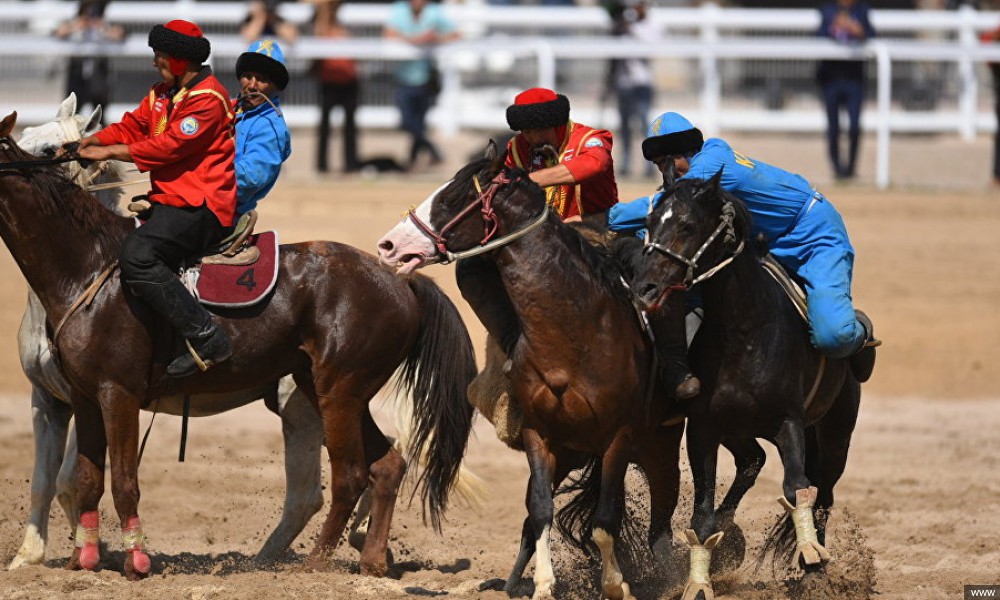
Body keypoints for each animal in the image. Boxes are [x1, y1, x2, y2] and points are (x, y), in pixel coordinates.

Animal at [6, 94, 484, 572]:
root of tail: (398, 279)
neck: (91, 270)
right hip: (327, 393)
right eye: (23, 136)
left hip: (327, 400)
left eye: (48, 149)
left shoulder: (115, 394)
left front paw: (112, 553)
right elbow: (51, 481)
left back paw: (306, 560)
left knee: (333, 482)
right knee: (383, 464)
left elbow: (87, 479)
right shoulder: (54, 400)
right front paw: (35, 557)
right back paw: (359, 556)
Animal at [376, 144, 688, 600]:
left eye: (451, 197)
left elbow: (606, 519)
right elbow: (540, 510)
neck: (575, 336)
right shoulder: (540, 436)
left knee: (660, 524)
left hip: (659, 447)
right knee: (533, 520)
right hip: (572, 453)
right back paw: (511, 582)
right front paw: (542, 585)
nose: (389, 244)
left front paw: (615, 585)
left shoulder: (619, 437)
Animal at [628, 171, 864, 596]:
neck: (744, 333)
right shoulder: (703, 431)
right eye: (650, 223)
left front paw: (812, 562)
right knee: (754, 461)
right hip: (739, 431)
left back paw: (815, 566)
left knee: (823, 495)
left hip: (836, 434)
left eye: (687, 226)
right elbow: (702, 518)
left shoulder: (788, 422)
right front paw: (699, 583)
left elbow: (798, 489)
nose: (644, 289)